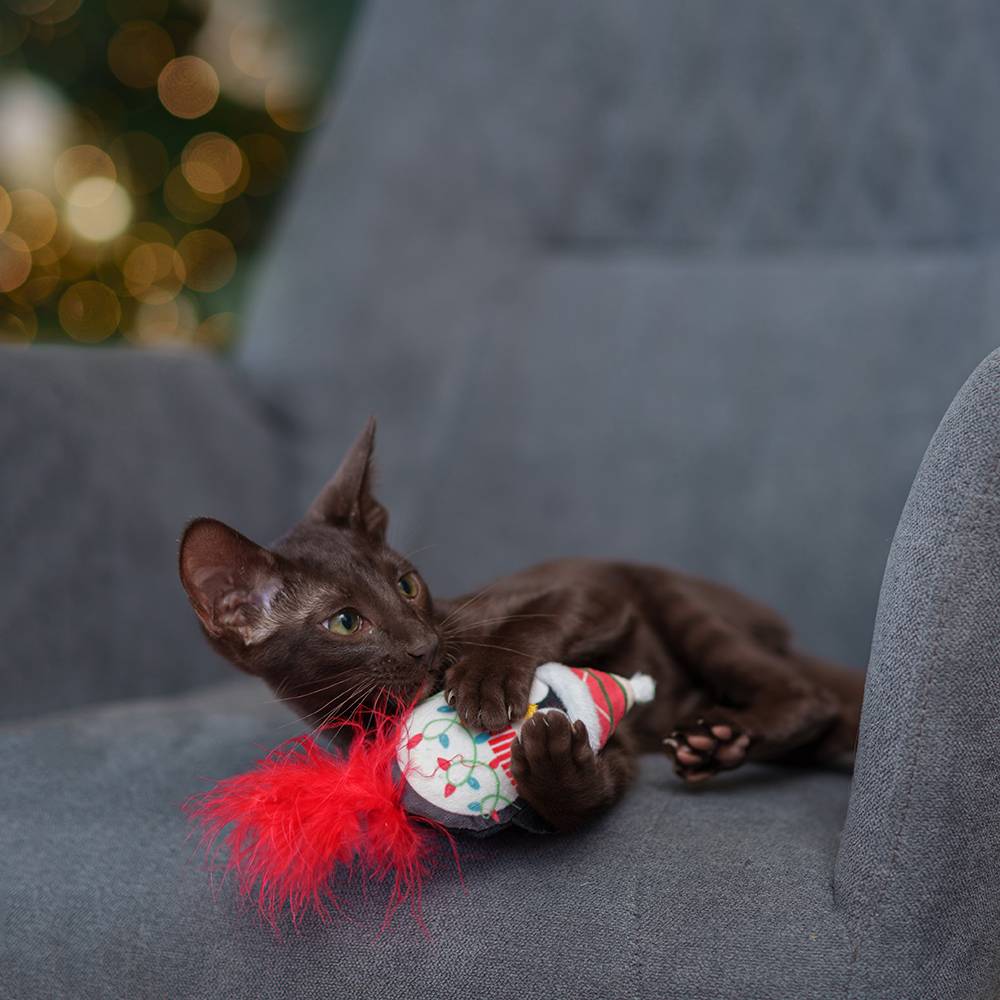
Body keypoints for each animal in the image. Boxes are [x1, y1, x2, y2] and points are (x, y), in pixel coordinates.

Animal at [179, 419, 865, 833]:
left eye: (407, 584)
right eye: (345, 622)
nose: (427, 646)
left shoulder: (590, 587)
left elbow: (532, 623)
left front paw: (486, 681)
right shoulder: (617, 754)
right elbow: (584, 798)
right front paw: (557, 766)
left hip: (679, 602)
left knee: (811, 699)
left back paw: (725, 736)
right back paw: (719, 743)